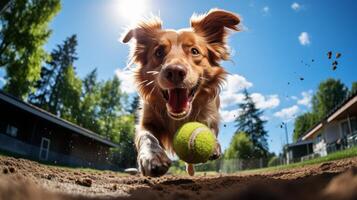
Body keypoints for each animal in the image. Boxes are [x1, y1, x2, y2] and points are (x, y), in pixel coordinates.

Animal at [121, 9, 239, 177]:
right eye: (158, 52)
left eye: (194, 51)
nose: (175, 72)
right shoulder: (147, 121)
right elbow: (146, 136)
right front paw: (152, 157)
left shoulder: (210, 115)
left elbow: (211, 129)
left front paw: (214, 146)